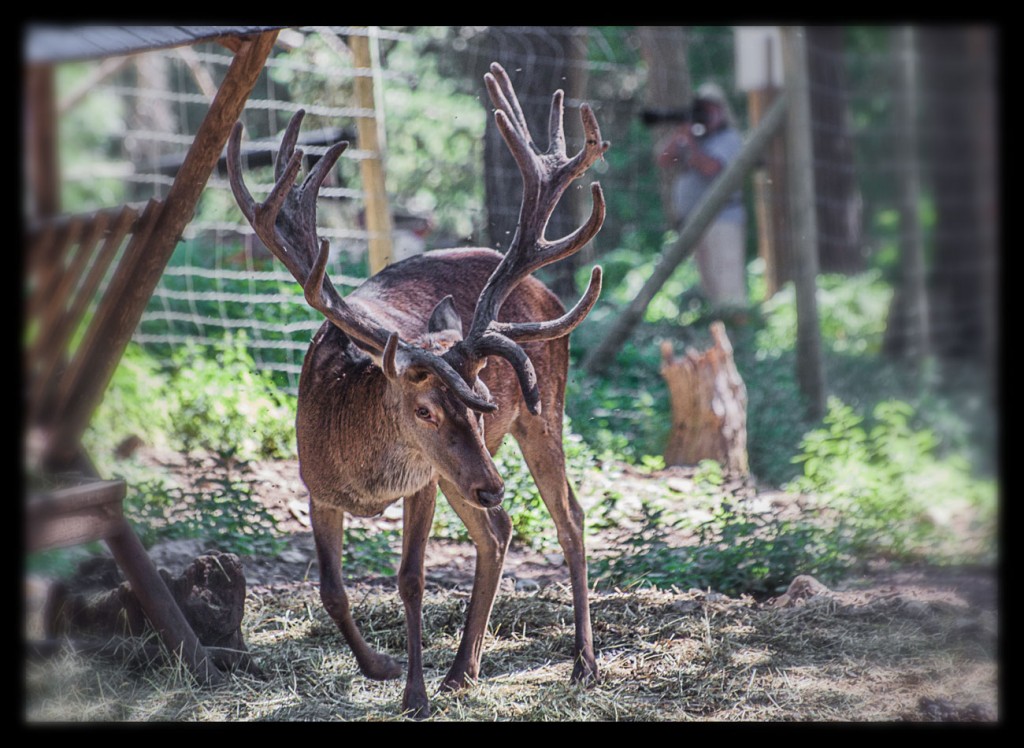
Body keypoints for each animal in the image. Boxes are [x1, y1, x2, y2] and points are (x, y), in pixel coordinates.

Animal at [226, 62, 606, 717]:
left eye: (481, 404)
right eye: (424, 410)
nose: (494, 484)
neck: (365, 477)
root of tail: (546, 290)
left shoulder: (423, 481)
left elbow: (411, 579)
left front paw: (414, 693)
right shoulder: (315, 486)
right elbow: (331, 589)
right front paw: (378, 667)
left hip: (539, 416)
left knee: (570, 517)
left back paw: (581, 661)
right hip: (468, 472)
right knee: (500, 530)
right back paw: (464, 669)